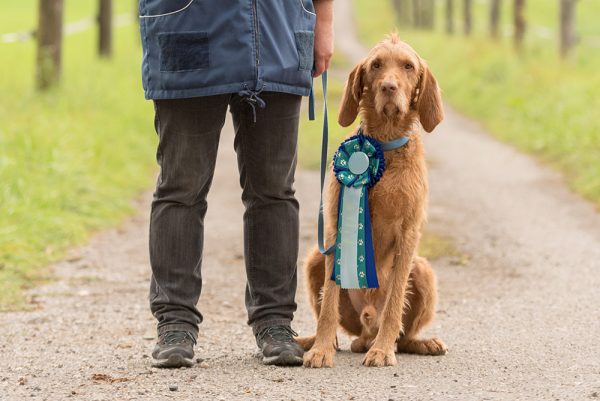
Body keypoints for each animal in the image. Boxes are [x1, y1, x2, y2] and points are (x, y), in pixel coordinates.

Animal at [298, 34, 448, 366]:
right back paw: (312, 340)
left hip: (423, 269)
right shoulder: (335, 227)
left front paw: (383, 350)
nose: (388, 87)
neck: (385, 147)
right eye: (376, 65)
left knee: (404, 335)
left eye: (408, 66)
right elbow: (328, 303)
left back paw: (416, 343)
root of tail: (366, 328)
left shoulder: (409, 233)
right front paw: (321, 349)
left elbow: (395, 302)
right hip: (315, 258)